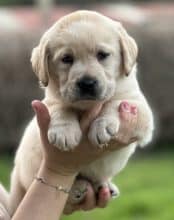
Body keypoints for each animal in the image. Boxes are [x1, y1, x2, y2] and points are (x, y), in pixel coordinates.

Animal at [9, 10, 154, 215]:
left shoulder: (140, 109)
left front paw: (102, 125)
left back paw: (106, 186)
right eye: (66, 58)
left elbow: (114, 103)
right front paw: (65, 132)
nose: (87, 83)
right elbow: (60, 107)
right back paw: (78, 188)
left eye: (103, 55)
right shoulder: (48, 101)